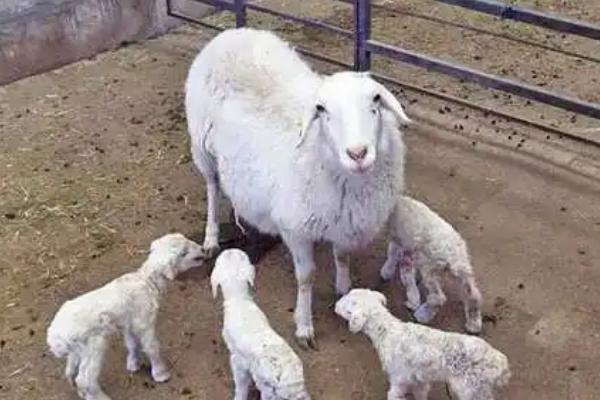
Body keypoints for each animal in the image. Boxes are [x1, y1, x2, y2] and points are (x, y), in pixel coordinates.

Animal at [46, 233, 206, 398]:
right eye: (183, 253)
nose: (202, 249)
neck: (147, 281)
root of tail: (54, 338)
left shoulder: (129, 322)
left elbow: (132, 343)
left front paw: (133, 364)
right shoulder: (145, 322)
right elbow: (151, 347)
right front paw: (160, 374)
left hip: (76, 349)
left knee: (70, 371)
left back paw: (83, 394)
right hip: (93, 346)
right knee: (84, 379)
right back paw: (101, 397)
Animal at [186, 27, 412, 346]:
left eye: (376, 101)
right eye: (322, 109)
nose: (358, 153)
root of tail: (232, 32)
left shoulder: (344, 221)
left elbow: (342, 257)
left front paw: (344, 288)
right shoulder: (295, 227)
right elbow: (306, 277)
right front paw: (304, 325)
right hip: (202, 147)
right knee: (211, 188)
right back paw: (211, 236)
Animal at [211, 248, 312, 398]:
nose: (230, 249)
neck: (239, 299)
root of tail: (290, 384)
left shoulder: (237, 359)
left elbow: (240, 384)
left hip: (269, 392)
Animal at [336, 290, 508, 400]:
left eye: (346, 307)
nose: (335, 306)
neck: (386, 332)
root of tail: (501, 365)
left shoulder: (399, 379)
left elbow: (393, 395)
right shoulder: (419, 380)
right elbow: (421, 394)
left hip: (472, 390)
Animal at [382, 195, 486, 332]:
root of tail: (451, 253)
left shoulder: (399, 240)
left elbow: (393, 254)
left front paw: (387, 271)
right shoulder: (410, 248)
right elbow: (407, 270)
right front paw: (412, 297)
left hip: (429, 267)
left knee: (438, 297)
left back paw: (422, 315)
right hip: (462, 267)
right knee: (472, 294)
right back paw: (474, 323)